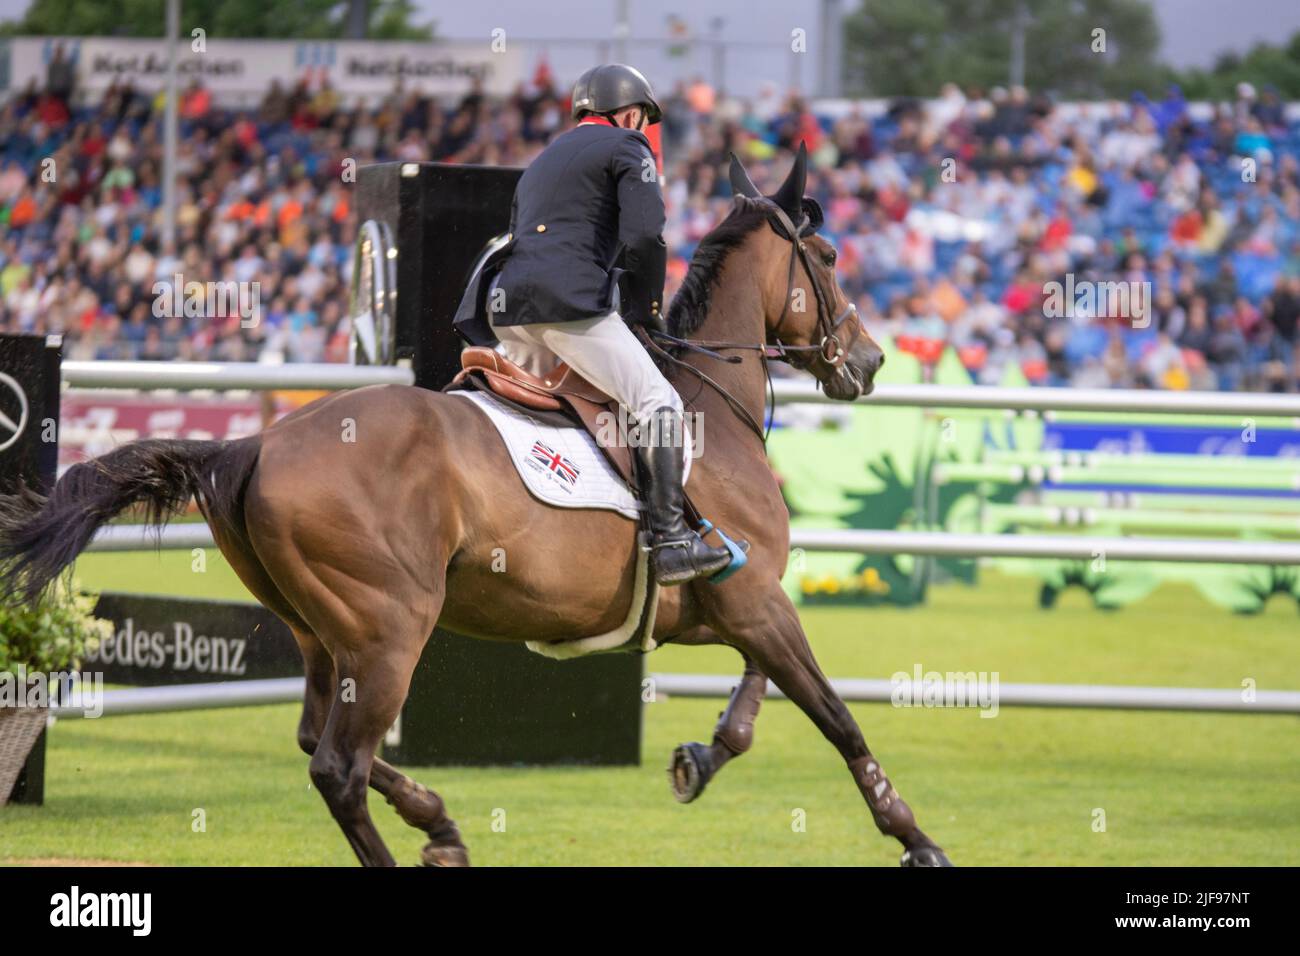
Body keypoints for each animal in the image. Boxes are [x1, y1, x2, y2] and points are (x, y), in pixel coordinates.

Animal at [0, 147, 956, 868]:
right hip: (389, 630)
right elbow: (837, 717)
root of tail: (254, 443)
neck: (706, 408)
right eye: (826, 260)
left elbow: (761, 699)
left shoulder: (740, 606)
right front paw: (915, 838)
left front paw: (700, 756)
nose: (867, 362)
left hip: (323, 634)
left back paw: (441, 824)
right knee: (338, 767)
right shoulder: (756, 601)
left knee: (316, 741)